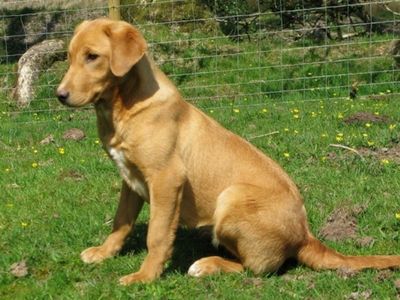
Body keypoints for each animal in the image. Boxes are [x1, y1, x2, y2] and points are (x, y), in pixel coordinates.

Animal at [57, 17, 400, 284]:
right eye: (69, 57)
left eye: (93, 56)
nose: (59, 95)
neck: (123, 108)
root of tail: (305, 235)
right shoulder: (130, 179)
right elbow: (120, 222)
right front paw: (104, 253)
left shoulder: (167, 179)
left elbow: (157, 234)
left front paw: (145, 276)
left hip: (231, 197)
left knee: (256, 268)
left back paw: (208, 264)